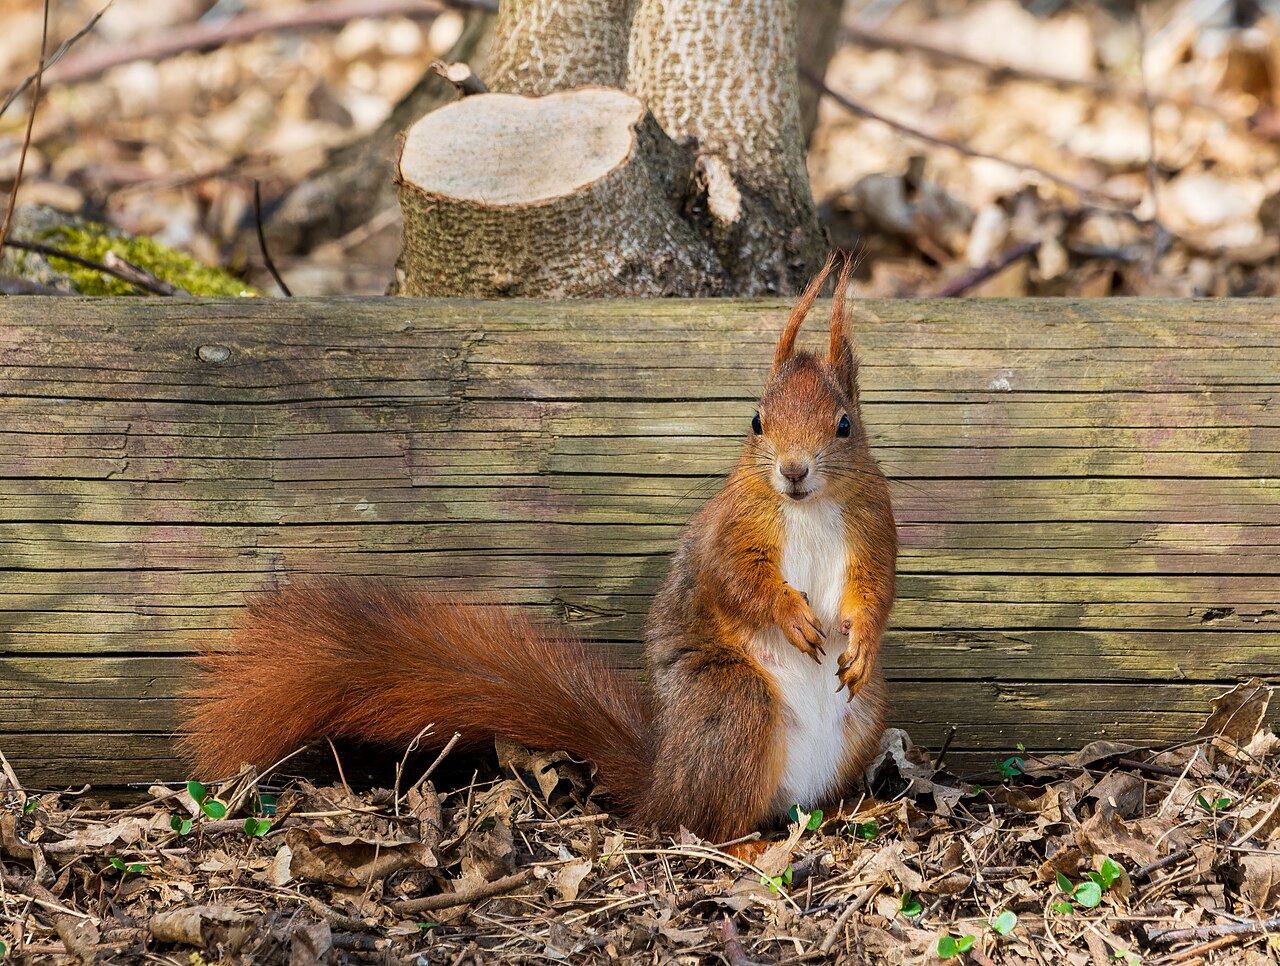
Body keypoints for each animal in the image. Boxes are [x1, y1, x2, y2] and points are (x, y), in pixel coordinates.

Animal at [185, 254, 896, 839]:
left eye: (844, 425)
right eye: (755, 421)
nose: (793, 471)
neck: (807, 509)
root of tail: (663, 782)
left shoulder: (874, 526)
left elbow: (877, 591)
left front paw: (859, 640)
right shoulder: (733, 529)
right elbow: (737, 580)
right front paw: (792, 615)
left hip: (863, 717)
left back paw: (853, 808)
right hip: (735, 708)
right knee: (708, 825)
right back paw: (746, 845)